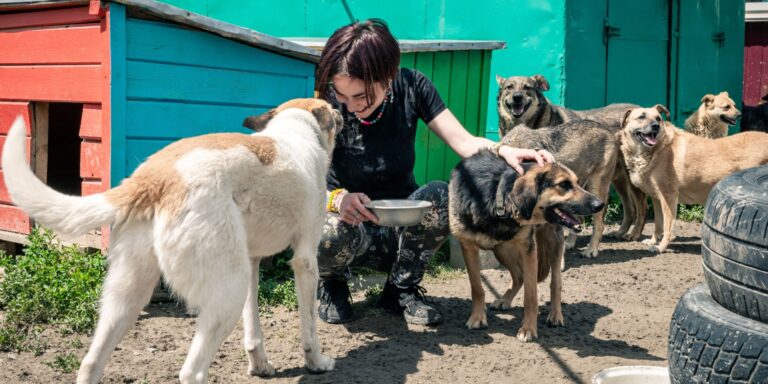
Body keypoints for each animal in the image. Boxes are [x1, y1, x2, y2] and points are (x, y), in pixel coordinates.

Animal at [0, 97, 342, 382]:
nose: (342, 112)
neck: (296, 130)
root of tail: (152, 177)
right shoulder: (305, 261)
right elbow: (309, 328)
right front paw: (317, 363)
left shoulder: (253, 262)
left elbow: (253, 330)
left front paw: (260, 366)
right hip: (227, 292)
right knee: (191, 372)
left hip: (128, 298)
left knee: (90, 363)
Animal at [448, 151, 604, 342]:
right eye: (563, 185)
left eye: (576, 182)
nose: (600, 204)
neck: (497, 195)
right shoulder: (468, 247)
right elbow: (477, 288)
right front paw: (477, 317)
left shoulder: (528, 249)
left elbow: (531, 297)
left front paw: (528, 329)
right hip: (502, 250)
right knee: (519, 276)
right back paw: (505, 300)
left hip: (552, 244)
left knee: (555, 283)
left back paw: (555, 315)